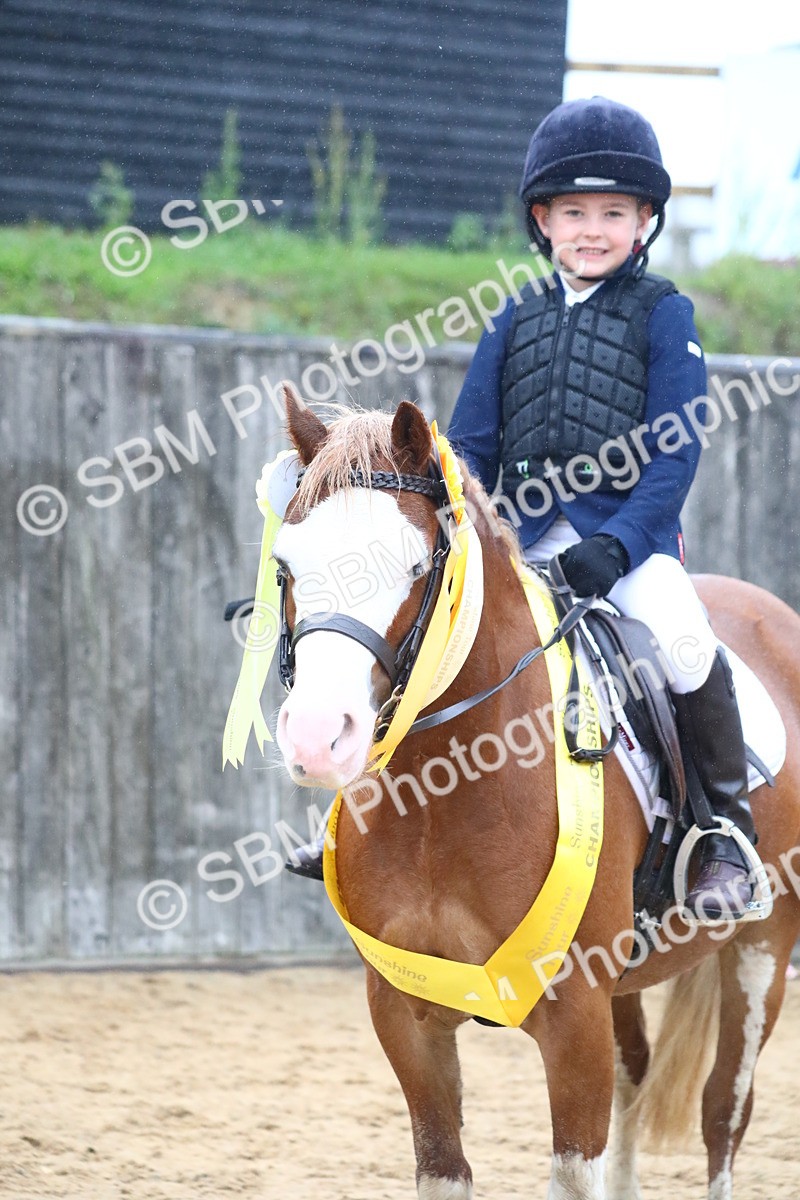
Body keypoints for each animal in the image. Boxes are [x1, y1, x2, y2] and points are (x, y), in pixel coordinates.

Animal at [271, 384, 800, 1200]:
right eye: (286, 564)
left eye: (417, 565)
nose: (315, 738)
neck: (442, 796)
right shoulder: (404, 1015)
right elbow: (443, 1165)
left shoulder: (574, 1017)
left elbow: (578, 1166)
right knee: (639, 1075)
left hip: (762, 946)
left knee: (723, 1114)